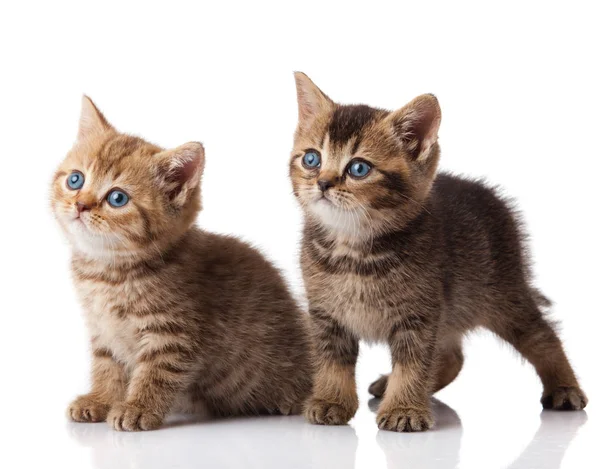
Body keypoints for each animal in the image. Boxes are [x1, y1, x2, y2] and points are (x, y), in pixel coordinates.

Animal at [53, 96, 314, 432]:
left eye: (117, 198)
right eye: (76, 179)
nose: (80, 204)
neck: (108, 273)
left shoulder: (174, 334)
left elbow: (156, 373)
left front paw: (137, 407)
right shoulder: (102, 329)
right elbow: (106, 366)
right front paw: (100, 399)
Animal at [290, 72, 584, 432]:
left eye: (359, 168)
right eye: (311, 159)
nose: (323, 183)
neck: (353, 252)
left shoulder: (420, 312)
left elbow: (413, 363)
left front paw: (404, 409)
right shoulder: (325, 314)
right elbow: (332, 361)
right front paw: (331, 401)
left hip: (503, 295)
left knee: (542, 336)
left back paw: (565, 388)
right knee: (453, 357)